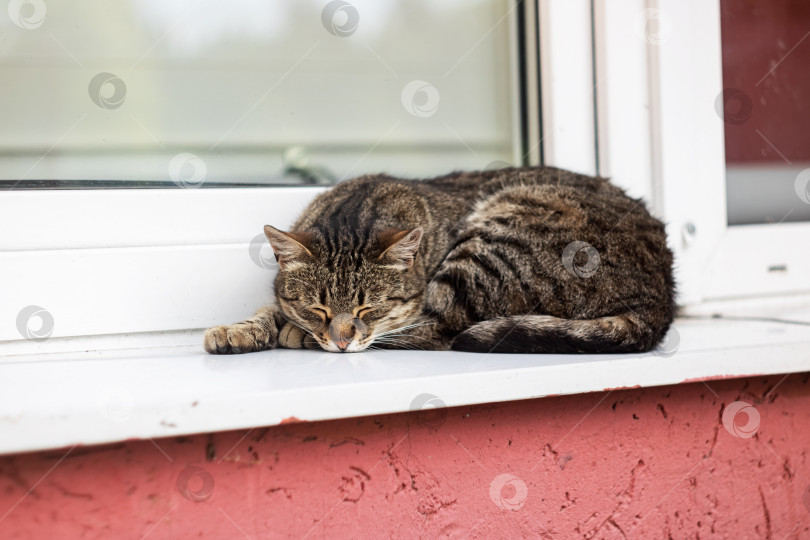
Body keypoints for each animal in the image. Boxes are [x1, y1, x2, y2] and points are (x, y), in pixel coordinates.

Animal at [204, 167, 676, 356]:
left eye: (368, 309)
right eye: (317, 308)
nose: (339, 340)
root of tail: (661, 298)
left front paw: (292, 332)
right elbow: (271, 308)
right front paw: (239, 329)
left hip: (491, 247)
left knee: (440, 330)